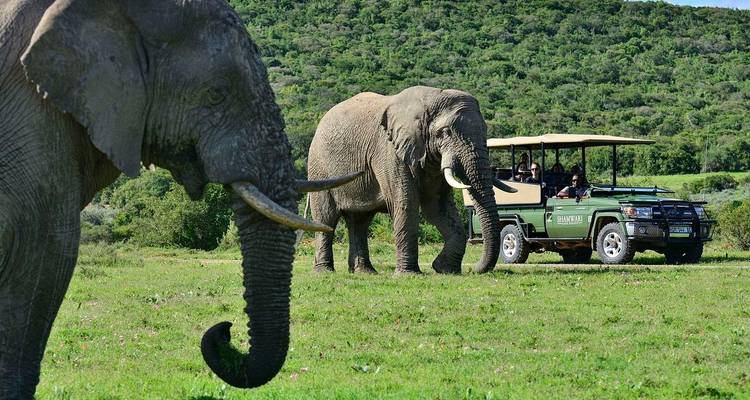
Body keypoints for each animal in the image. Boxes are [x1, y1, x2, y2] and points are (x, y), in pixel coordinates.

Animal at [308, 86, 515, 275]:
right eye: (445, 132)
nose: (474, 270)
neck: (429, 99)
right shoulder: (390, 152)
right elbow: (406, 204)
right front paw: (409, 274)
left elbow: (438, 208)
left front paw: (444, 269)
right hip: (319, 168)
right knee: (327, 217)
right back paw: (324, 272)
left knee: (360, 222)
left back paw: (365, 272)